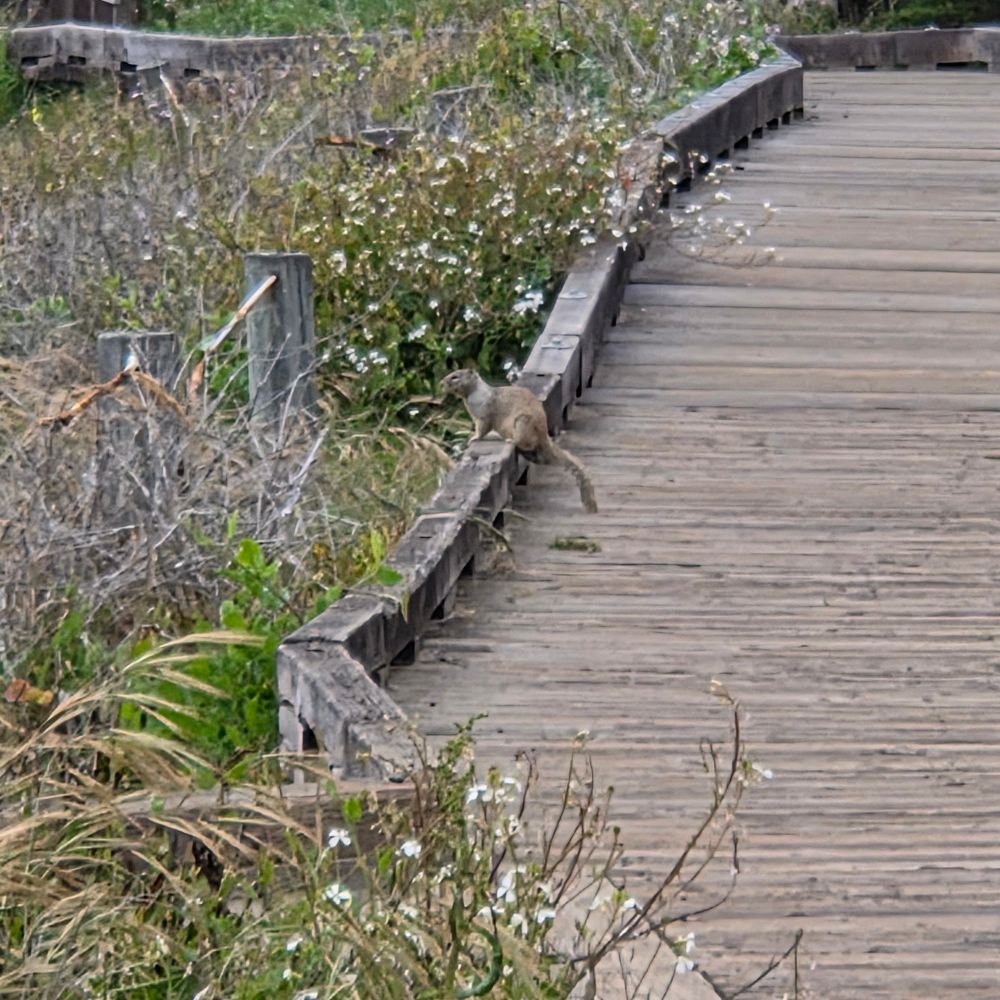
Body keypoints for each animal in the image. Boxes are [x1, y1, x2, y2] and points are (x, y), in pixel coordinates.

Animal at [441, 368, 598, 513]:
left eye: (455, 377)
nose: (442, 383)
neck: (475, 392)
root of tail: (543, 438)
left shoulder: (484, 416)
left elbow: (482, 430)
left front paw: (473, 438)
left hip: (522, 423)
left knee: (523, 441)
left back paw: (511, 440)